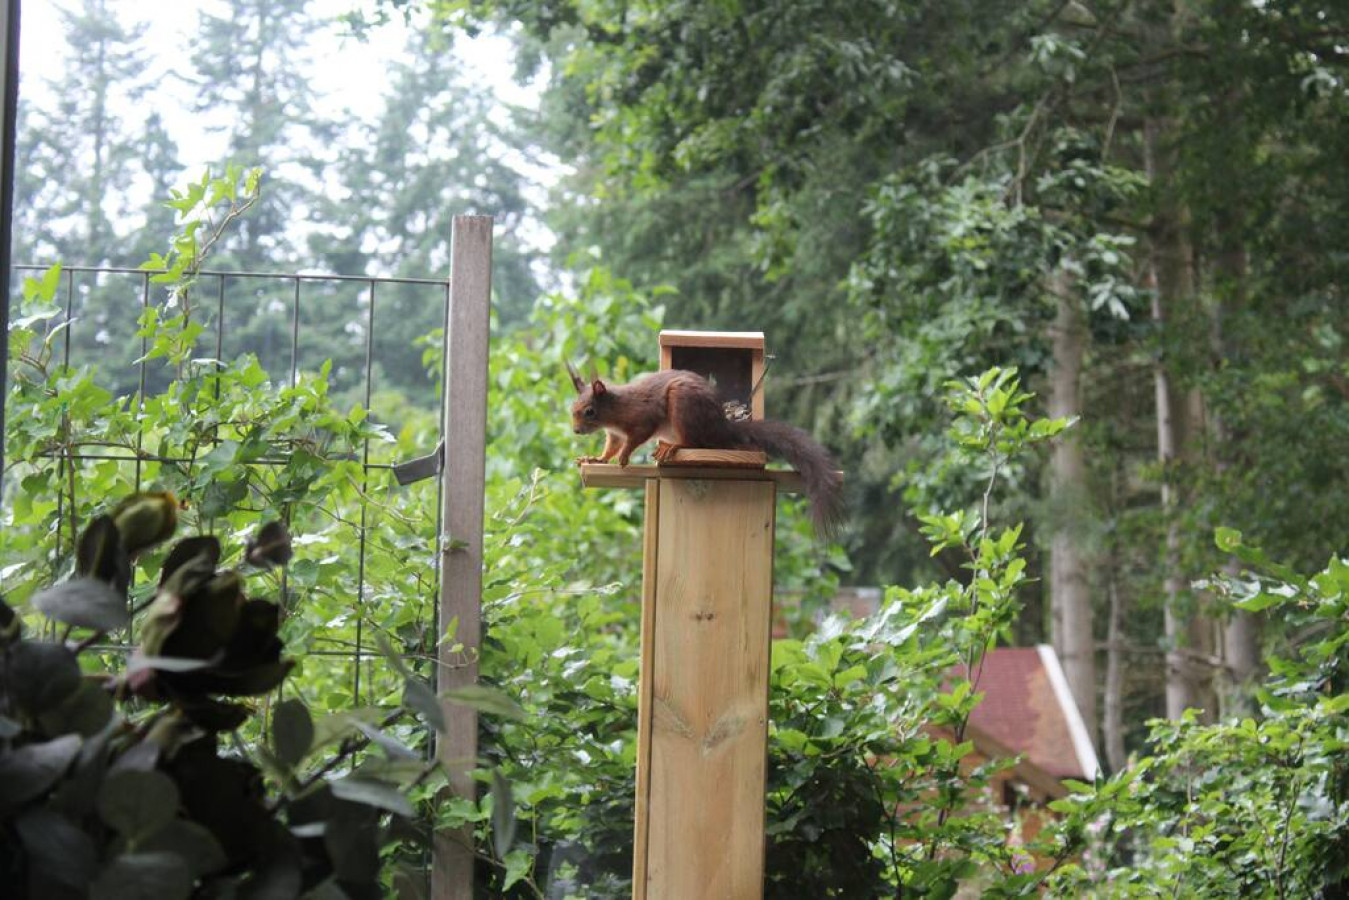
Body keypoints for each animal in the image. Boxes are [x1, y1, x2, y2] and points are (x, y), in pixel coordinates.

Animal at [569, 367, 841, 534]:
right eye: (573, 409)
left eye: (589, 411)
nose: (576, 431)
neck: (615, 411)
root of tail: (721, 426)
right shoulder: (614, 434)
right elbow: (610, 448)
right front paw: (596, 458)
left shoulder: (643, 418)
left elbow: (635, 438)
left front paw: (625, 456)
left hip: (683, 406)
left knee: (693, 441)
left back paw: (673, 446)